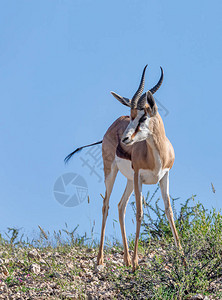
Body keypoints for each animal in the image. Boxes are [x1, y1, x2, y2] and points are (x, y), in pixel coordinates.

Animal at [64, 66, 182, 272]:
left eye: (143, 117)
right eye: (132, 116)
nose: (125, 139)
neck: (157, 155)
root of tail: (112, 125)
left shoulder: (164, 176)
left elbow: (169, 210)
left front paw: (181, 254)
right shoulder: (138, 177)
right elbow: (139, 213)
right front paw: (136, 261)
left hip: (128, 180)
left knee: (120, 206)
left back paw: (126, 259)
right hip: (112, 173)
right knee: (106, 205)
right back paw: (101, 260)